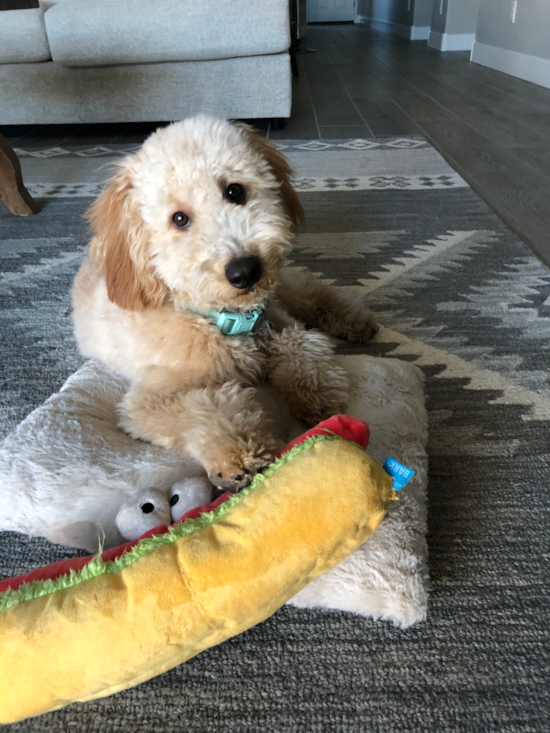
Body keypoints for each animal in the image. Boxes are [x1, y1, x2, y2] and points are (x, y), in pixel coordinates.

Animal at [72, 116, 380, 492]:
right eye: (179, 219)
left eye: (235, 191)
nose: (245, 271)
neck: (223, 318)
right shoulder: (151, 400)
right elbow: (208, 406)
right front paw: (238, 456)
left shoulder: (278, 322)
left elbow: (303, 344)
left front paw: (316, 393)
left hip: (283, 288)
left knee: (309, 290)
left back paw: (355, 319)